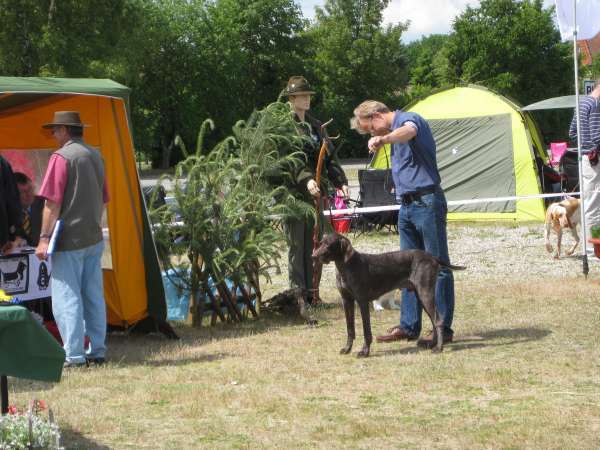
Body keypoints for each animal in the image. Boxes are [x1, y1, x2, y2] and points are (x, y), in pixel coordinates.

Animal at [312, 234, 466, 356]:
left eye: (328, 244)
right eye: (320, 242)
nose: (313, 256)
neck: (345, 266)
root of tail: (431, 256)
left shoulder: (362, 301)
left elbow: (366, 330)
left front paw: (364, 351)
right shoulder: (346, 300)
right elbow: (350, 329)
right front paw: (347, 349)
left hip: (425, 293)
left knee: (438, 321)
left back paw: (438, 348)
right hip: (420, 295)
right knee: (434, 321)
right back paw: (431, 344)